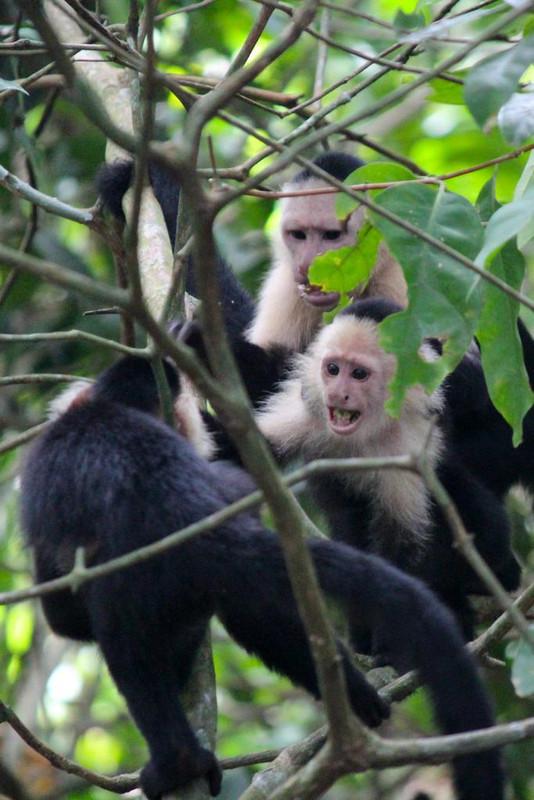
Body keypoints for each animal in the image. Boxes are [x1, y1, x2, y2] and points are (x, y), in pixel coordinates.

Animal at [255, 296, 524, 640]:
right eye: (332, 369)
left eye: (359, 374)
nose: (337, 393)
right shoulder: (307, 411)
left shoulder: (408, 445)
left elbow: (402, 546)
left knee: (480, 518)